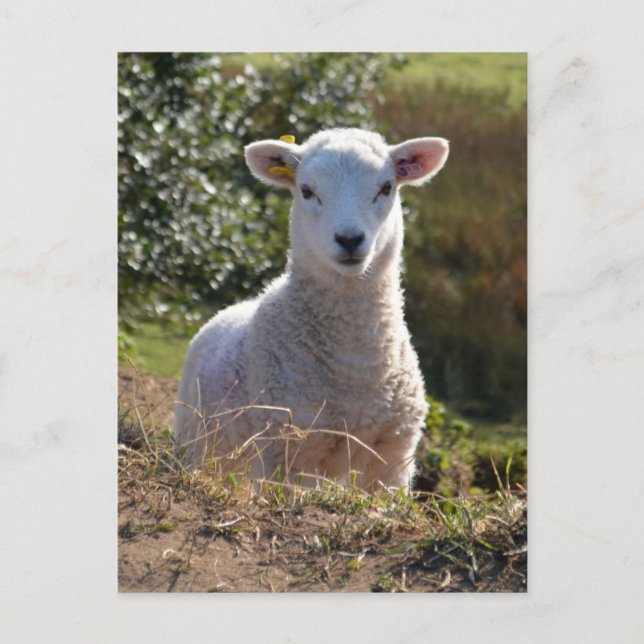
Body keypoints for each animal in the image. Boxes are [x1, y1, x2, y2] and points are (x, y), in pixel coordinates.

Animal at [174, 128, 449, 490]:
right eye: (306, 190)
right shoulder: (285, 450)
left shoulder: (393, 454)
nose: (349, 239)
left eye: (386, 187)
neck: (354, 364)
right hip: (199, 441)